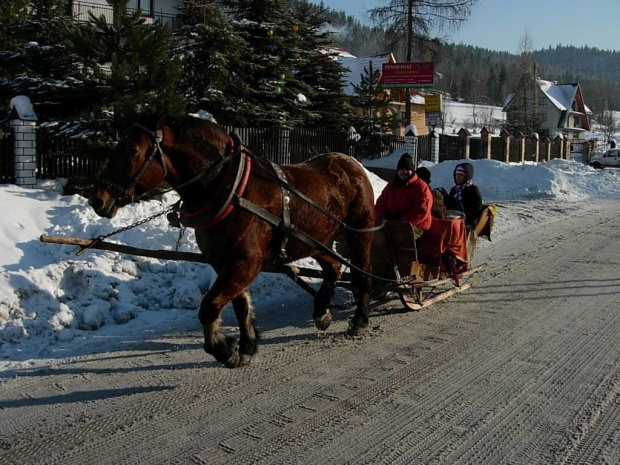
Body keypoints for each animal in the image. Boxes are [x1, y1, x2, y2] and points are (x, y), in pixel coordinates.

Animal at [89, 115, 376, 366]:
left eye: (133, 150)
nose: (97, 199)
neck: (230, 188)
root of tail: (350, 162)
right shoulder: (223, 262)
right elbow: (239, 305)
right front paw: (247, 346)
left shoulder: (246, 262)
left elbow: (209, 306)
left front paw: (223, 349)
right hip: (314, 240)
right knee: (333, 267)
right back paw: (322, 313)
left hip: (358, 234)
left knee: (362, 275)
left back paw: (359, 320)